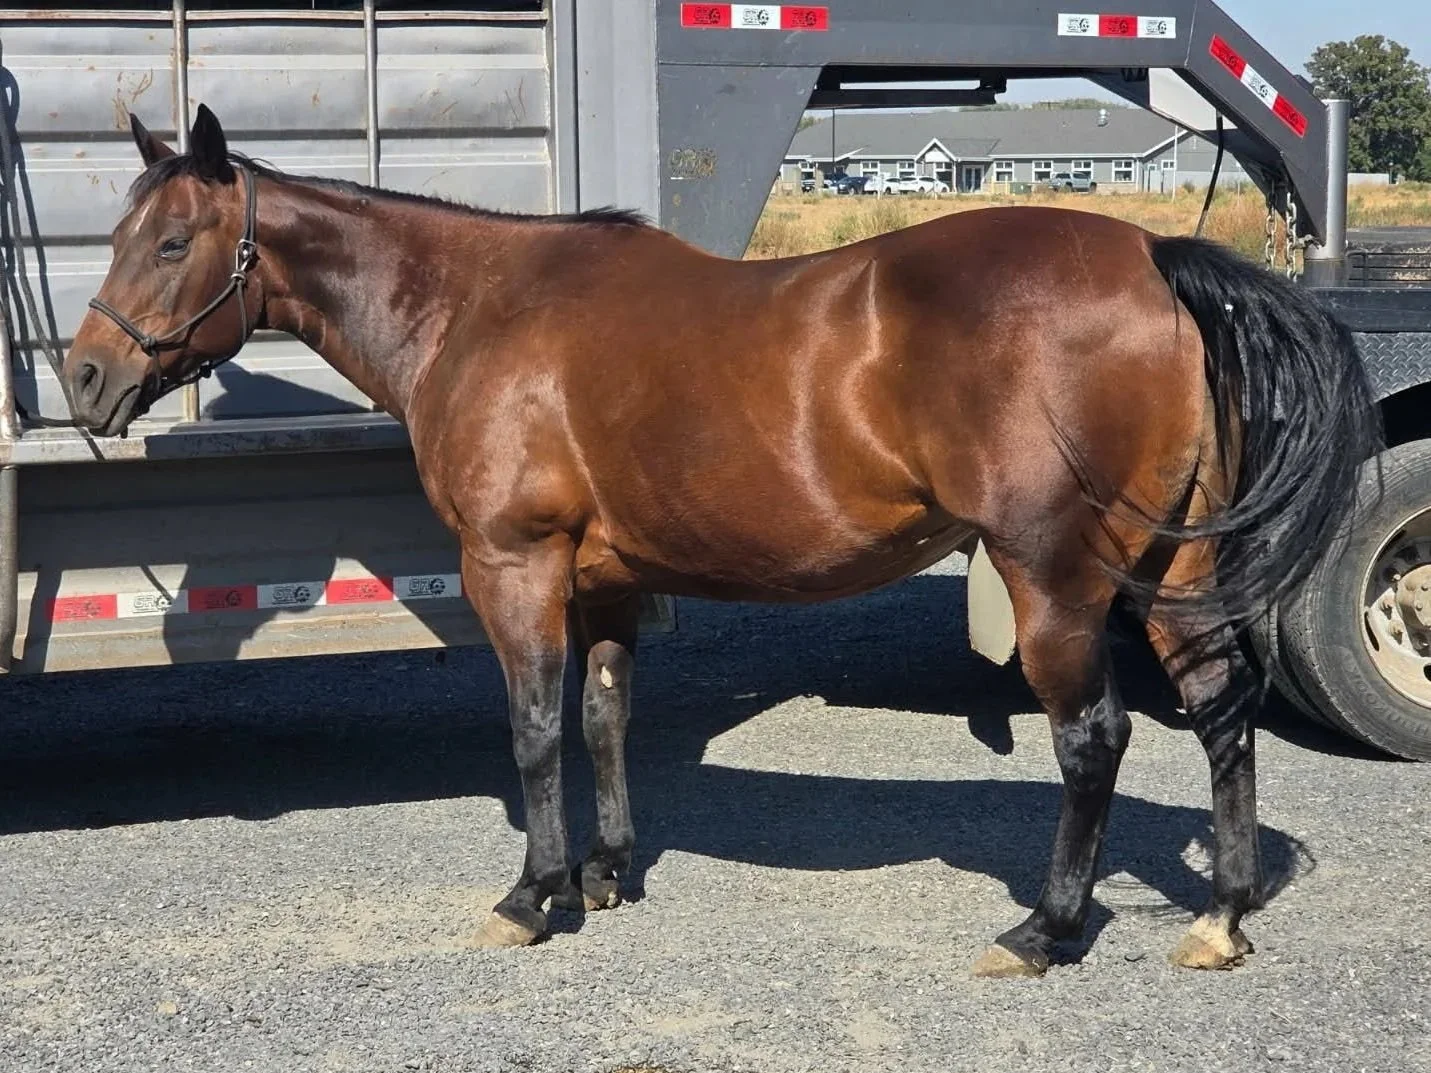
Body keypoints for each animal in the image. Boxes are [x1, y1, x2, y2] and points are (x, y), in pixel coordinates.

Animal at [62, 105, 1379, 978]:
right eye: (123, 232)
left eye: (172, 242)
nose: (84, 379)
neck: (479, 308)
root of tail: (1153, 257)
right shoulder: (600, 580)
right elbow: (602, 716)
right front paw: (605, 869)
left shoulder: (515, 563)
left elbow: (532, 727)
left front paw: (534, 892)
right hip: (1170, 570)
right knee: (1219, 706)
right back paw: (1222, 913)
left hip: (1055, 577)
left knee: (1094, 736)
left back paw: (1044, 927)